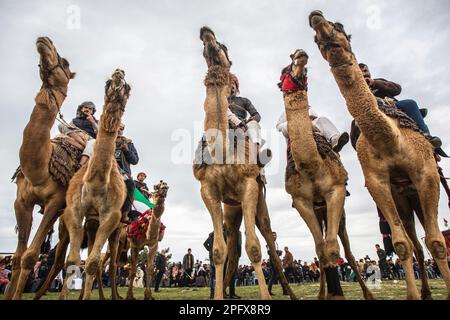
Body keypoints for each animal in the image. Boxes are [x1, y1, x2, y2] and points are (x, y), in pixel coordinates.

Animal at [4, 37, 75, 300]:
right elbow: (17, 258)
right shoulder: (21, 201)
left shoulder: (55, 202)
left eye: (65, 62)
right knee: (60, 258)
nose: (45, 40)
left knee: (63, 259)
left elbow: (30, 256)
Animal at [59, 68, 131, 300]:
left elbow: (92, 263)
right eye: (107, 83)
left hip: (118, 227)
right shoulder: (74, 210)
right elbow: (72, 262)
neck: (96, 182)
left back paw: (113, 295)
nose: (119, 73)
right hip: (91, 222)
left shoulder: (112, 216)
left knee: (111, 262)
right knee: (93, 253)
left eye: (128, 88)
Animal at [192, 26, 296, 300]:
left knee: (269, 239)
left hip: (259, 200)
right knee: (232, 248)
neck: (222, 150)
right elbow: (219, 251)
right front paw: (218, 297)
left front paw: (266, 297)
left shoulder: (249, 186)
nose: (206, 32)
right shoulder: (208, 191)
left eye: (224, 47)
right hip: (232, 209)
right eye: (204, 46)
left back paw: (289, 292)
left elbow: (255, 247)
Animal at [282, 49, 372, 300]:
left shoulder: (335, 190)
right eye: (284, 69)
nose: (300, 54)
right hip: (318, 209)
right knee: (321, 246)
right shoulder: (301, 200)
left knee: (348, 251)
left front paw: (337, 294)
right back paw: (323, 293)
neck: (312, 166)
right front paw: (329, 294)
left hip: (340, 213)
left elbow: (333, 248)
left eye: (304, 68)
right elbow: (321, 249)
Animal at [310, 10, 450, 300]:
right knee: (414, 242)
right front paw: (412, 295)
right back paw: (425, 292)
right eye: (315, 39)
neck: (389, 138)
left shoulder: (426, 174)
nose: (316, 17)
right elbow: (402, 244)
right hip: (403, 198)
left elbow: (437, 242)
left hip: (421, 189)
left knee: (428, 238)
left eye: (339, 26)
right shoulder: (378, 182)